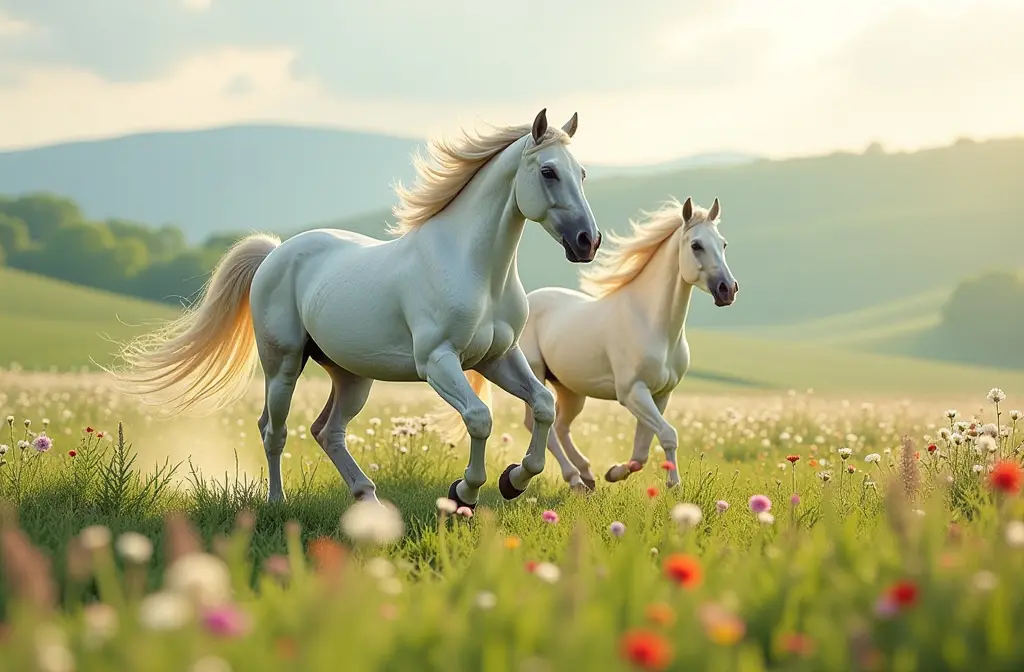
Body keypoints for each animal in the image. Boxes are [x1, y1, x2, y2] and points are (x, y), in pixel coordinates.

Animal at [111, 108, 602, 510]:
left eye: (581, 173)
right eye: (548, 171)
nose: (587, 242)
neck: (475, 269)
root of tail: (275, 253)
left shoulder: (498, 357)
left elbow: (542, 406)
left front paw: (514, 481)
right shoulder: (438, 362)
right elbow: (479, 418)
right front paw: (465, 492)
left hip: (351, 377)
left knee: (326, 431)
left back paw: (367, 496)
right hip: (283, 366)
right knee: (274, 430)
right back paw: (277, 502)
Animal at [444, 197, 737, 491]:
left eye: (723, 243)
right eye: (696, 245)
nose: (728, 290)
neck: (654, 326)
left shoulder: (660, 395)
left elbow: (642, 452)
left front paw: (614, 473)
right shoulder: (633, 392)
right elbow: (668, 434)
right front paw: (673, 486)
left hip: (571, 390)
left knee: (561, 425)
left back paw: (586, 474)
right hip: (536, 373)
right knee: (538, 422)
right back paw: (572, 478)